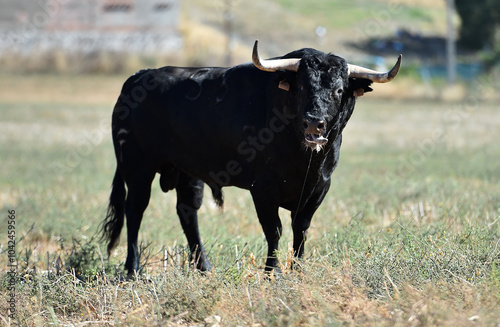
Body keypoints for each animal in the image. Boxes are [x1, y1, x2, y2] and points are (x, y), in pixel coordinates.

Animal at [102, 41, 402, 276]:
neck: (303, 160)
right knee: (135, 210)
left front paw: (298, 271)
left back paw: (204, 267)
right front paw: (273, 272)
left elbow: (301, 229)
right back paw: (133, 269)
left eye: (339, 90)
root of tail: (138, 77)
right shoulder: (264, 189)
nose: (314, 123)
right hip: (137, 168)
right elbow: (274, 230)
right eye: (301, 87)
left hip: (187, 172)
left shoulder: (319, 188)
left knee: (187, 211)